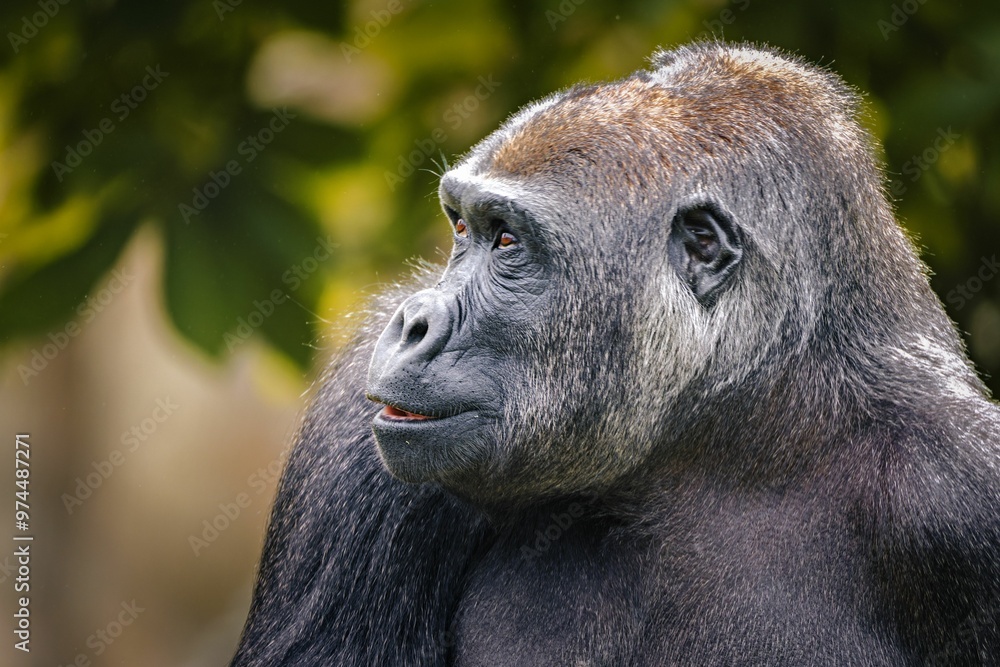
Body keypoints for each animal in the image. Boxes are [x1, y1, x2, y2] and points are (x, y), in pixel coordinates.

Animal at [230, 42, 1000, 666]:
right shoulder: (353, 443)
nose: (413, 321)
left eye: (506, 240)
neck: (736, 438)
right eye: (462, 227)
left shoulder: (964, 489)